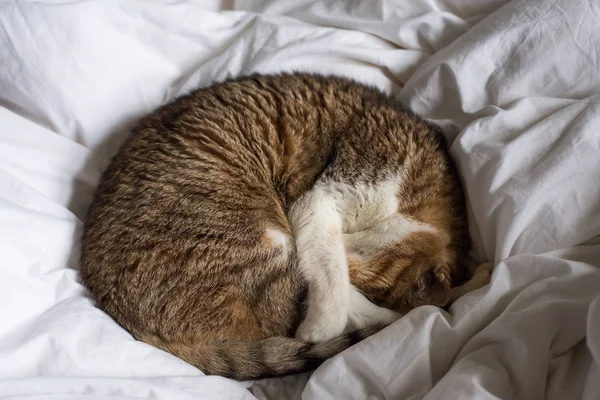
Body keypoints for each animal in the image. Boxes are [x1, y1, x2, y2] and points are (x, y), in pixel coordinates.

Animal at [78, 72, 492, 382]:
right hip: (265, 242)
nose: (345, 249)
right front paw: (317, 331)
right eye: (356, 263)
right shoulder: (322, 200)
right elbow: (334, 286)